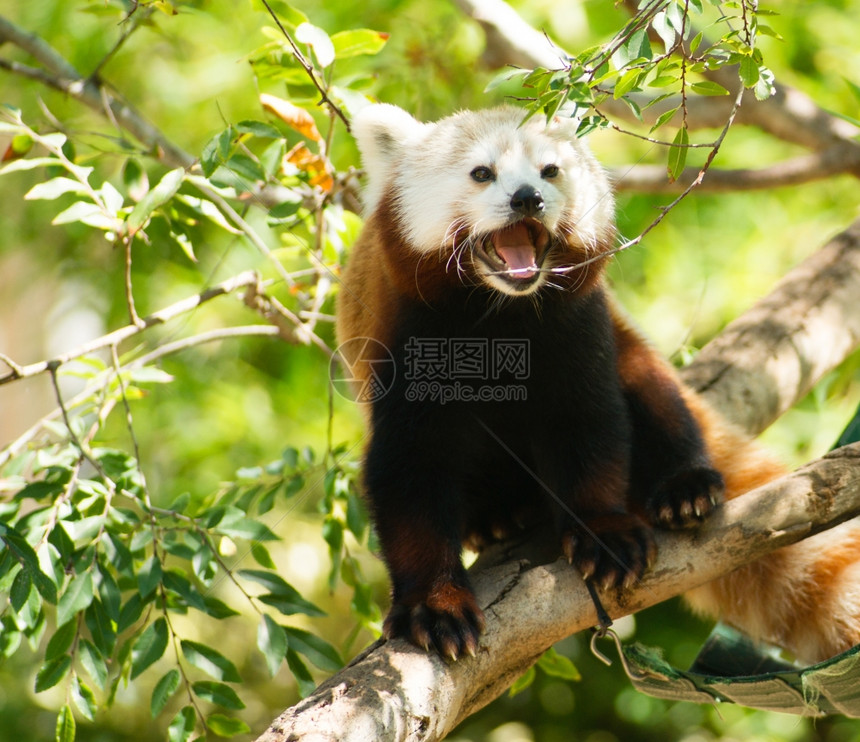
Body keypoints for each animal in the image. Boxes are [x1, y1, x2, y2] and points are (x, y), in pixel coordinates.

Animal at [334, 103, 860, 664]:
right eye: (482, 173)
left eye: (549, 171)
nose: (528, 198)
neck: (502, 313)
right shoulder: (406, 343)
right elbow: (409, 473)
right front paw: (435, 606)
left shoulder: (577, 328)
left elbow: (589, 428)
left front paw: (603, 532)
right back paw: (498, 515)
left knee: (654, 394)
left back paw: (685, 486)